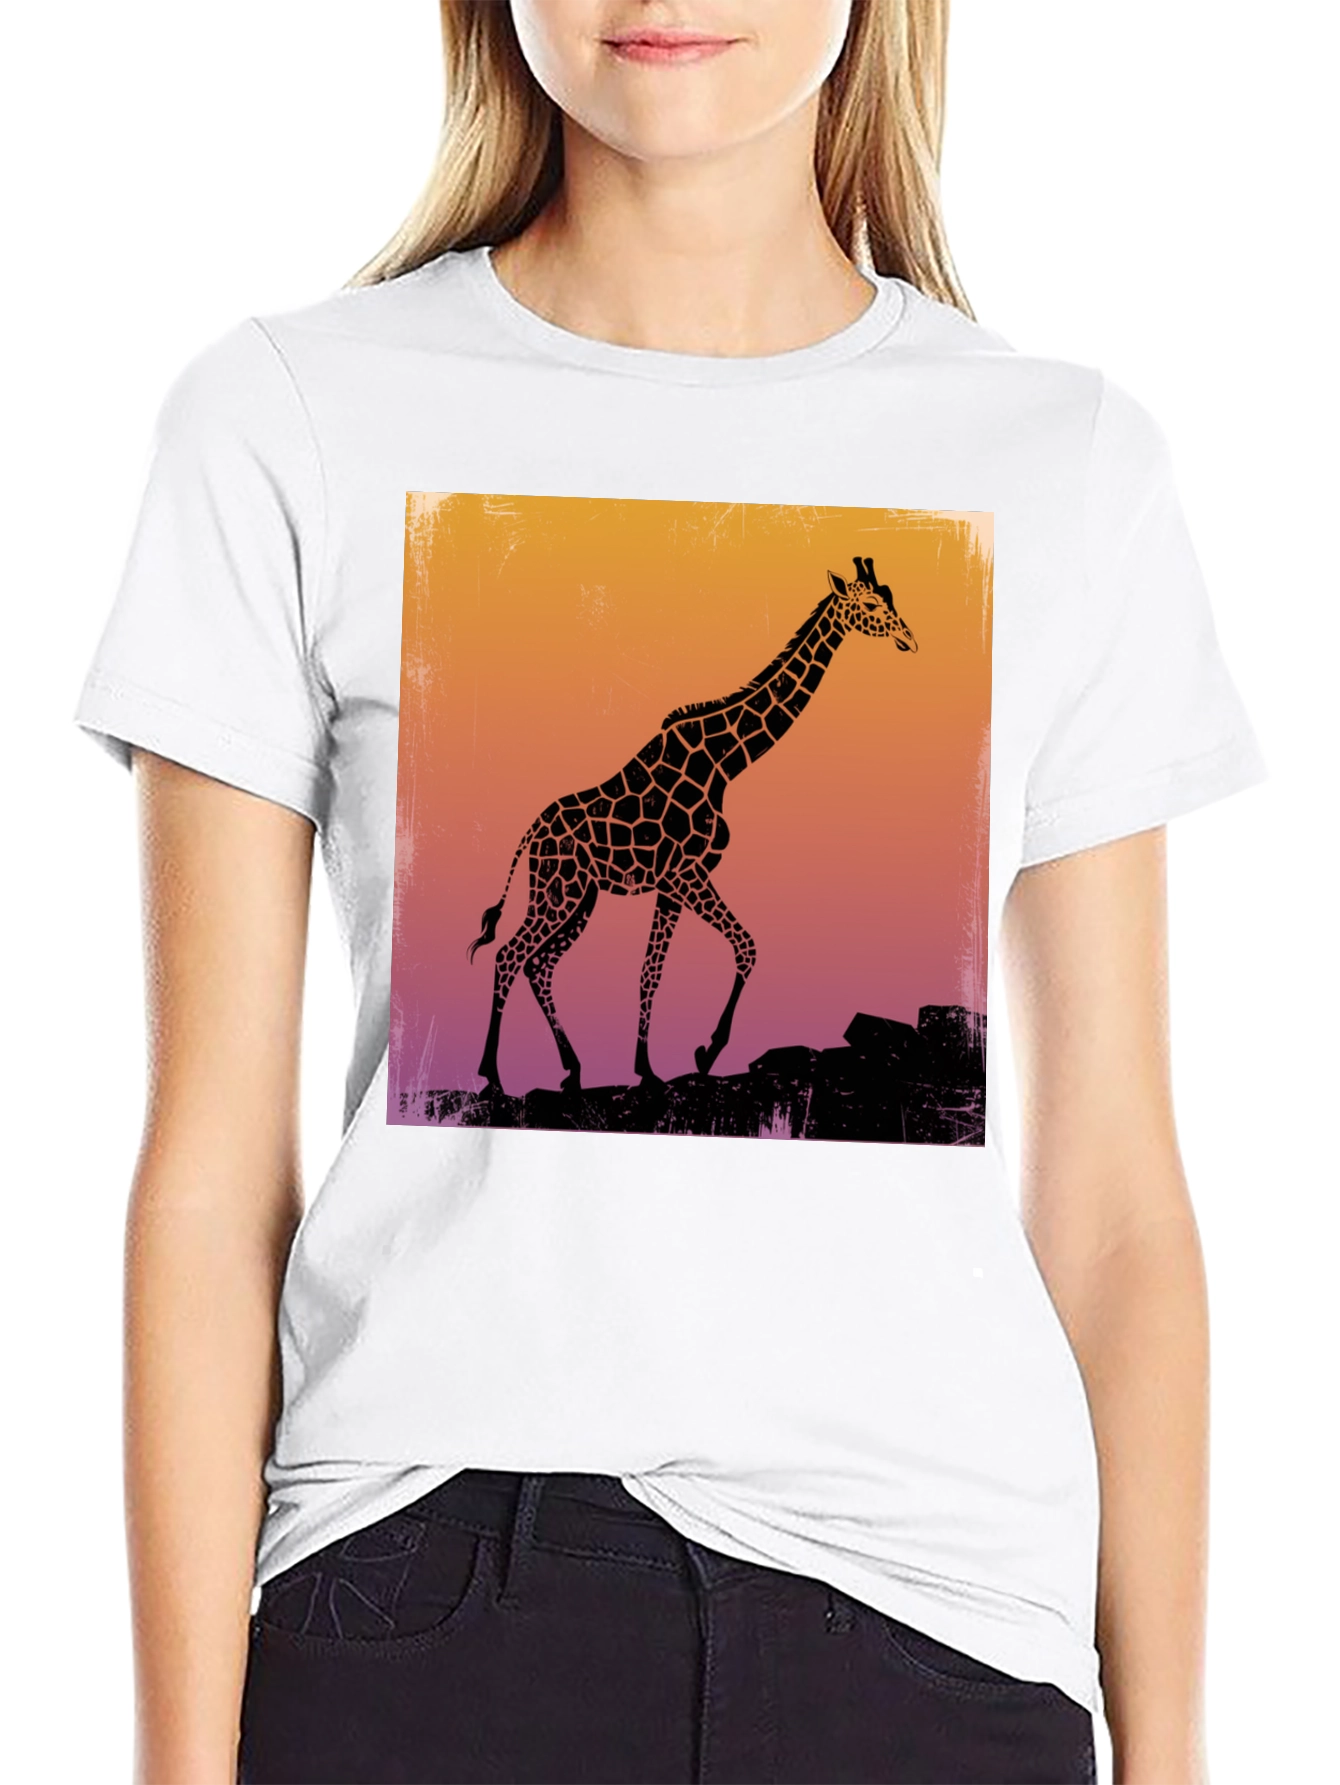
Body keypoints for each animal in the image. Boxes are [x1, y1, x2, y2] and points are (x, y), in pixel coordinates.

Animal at [468, 557, 917, 1092]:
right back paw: (492, 1076)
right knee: (509, 957)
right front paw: (706, 1052)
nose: (910, 640)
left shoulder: (670, 884)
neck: (725, 761)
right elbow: (746, 947)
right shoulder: (687, 874)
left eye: (890, 596)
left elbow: (651, 972)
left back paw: (572, 1070)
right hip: (558, 893)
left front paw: (647, 1068)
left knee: (540, 965)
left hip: (579, 898)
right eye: (871, 604)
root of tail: (529, 838)